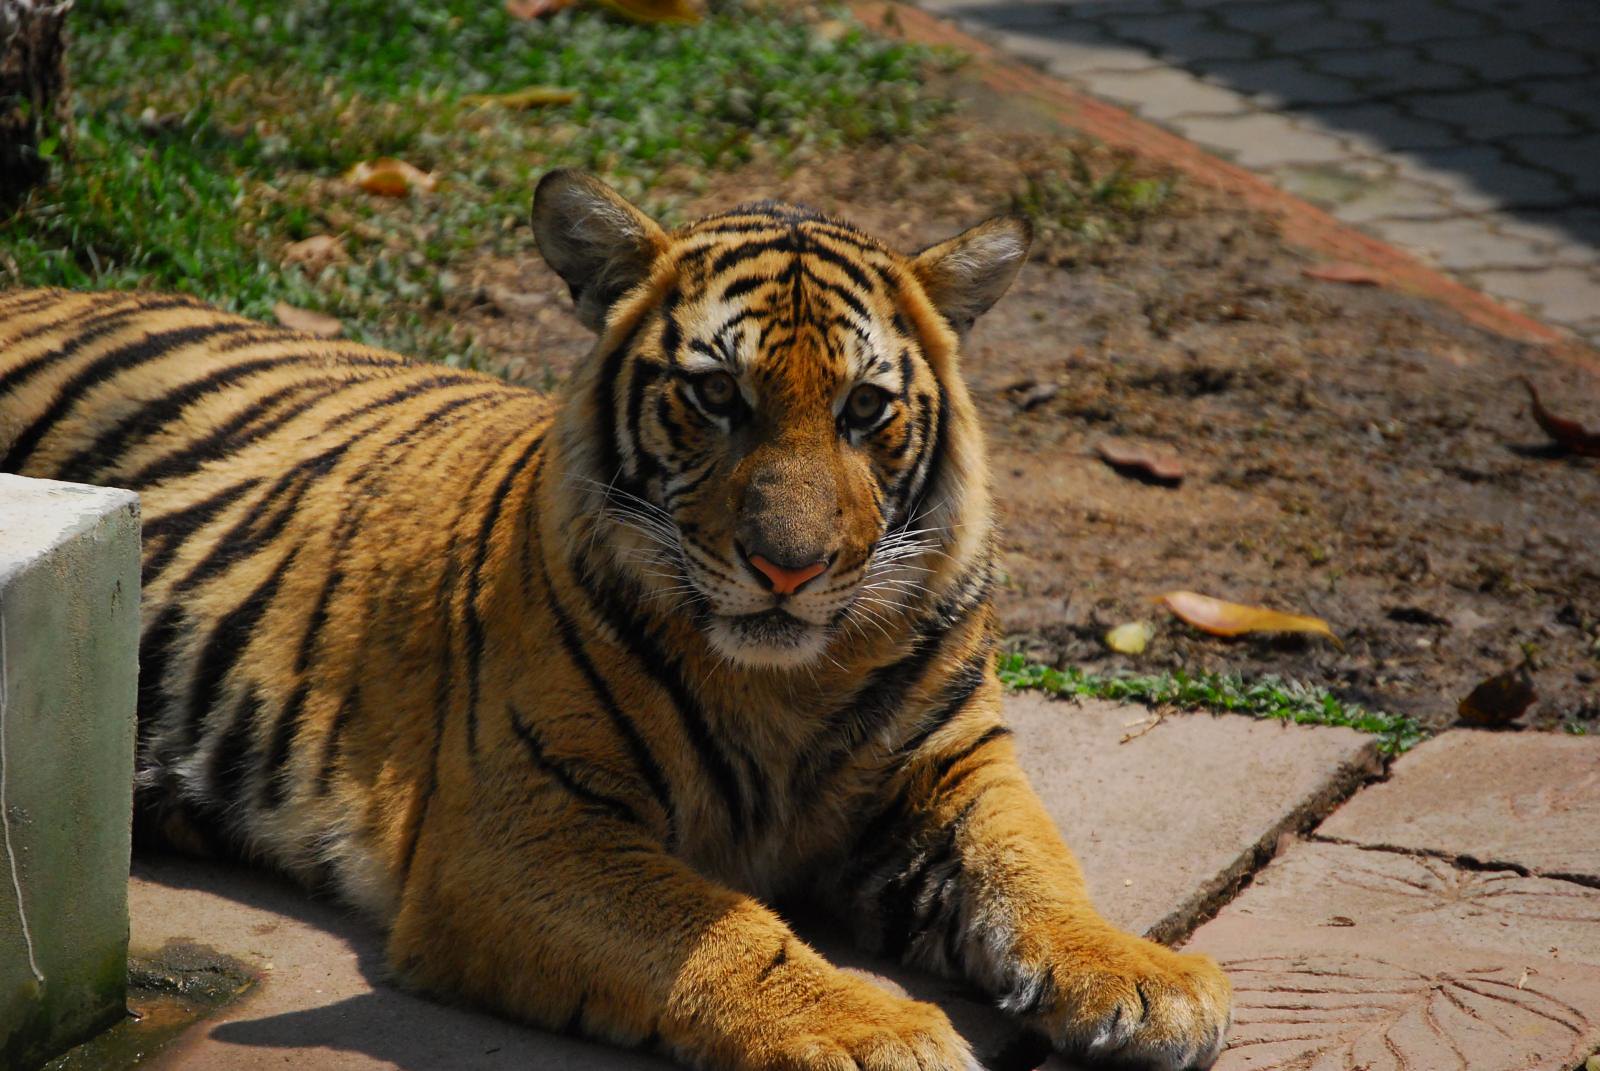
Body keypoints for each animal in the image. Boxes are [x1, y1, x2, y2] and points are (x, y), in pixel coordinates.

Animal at [0, 169, 1231, 1070]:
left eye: (864, 408)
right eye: (716, 395)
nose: (788, 569)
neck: (788, 682)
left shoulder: (954, 765)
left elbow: (1036, 865)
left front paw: (1143, 976)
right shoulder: (524, 826)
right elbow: (720, 928)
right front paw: (875, 1032)